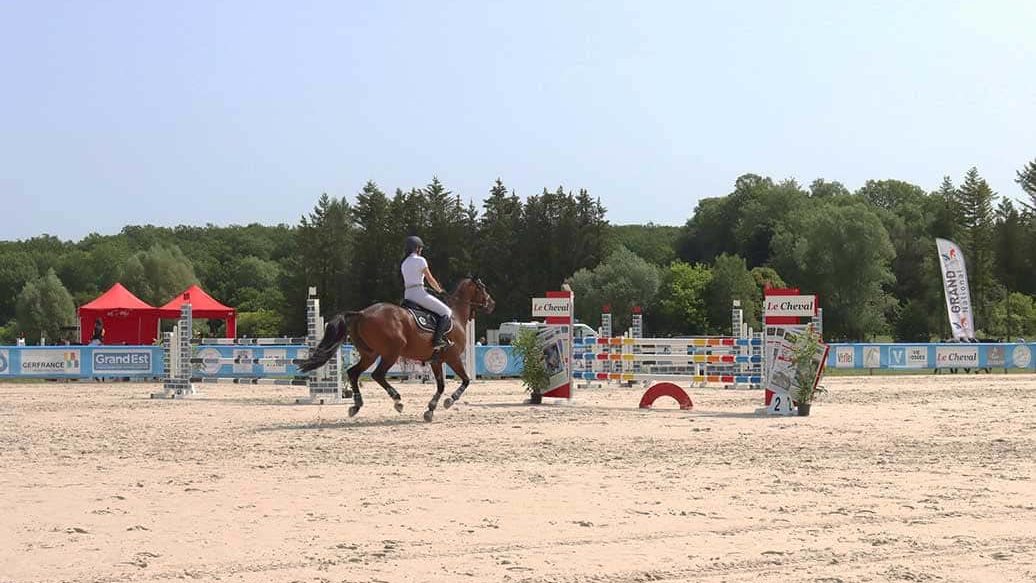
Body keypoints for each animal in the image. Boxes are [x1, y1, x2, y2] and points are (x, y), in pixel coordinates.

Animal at [298, 275, 495, 422]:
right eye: (483, 288)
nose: (492, 304)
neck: (455, 317)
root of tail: (361, 313)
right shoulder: (452, 358)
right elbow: (466, 380)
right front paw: (449, 401)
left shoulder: (436, 361)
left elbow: (440, 385)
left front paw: (430, 410)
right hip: (391, 353)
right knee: (377, 374)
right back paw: (397, 400)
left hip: (370, 354)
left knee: (353, 372)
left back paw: (356, 405)